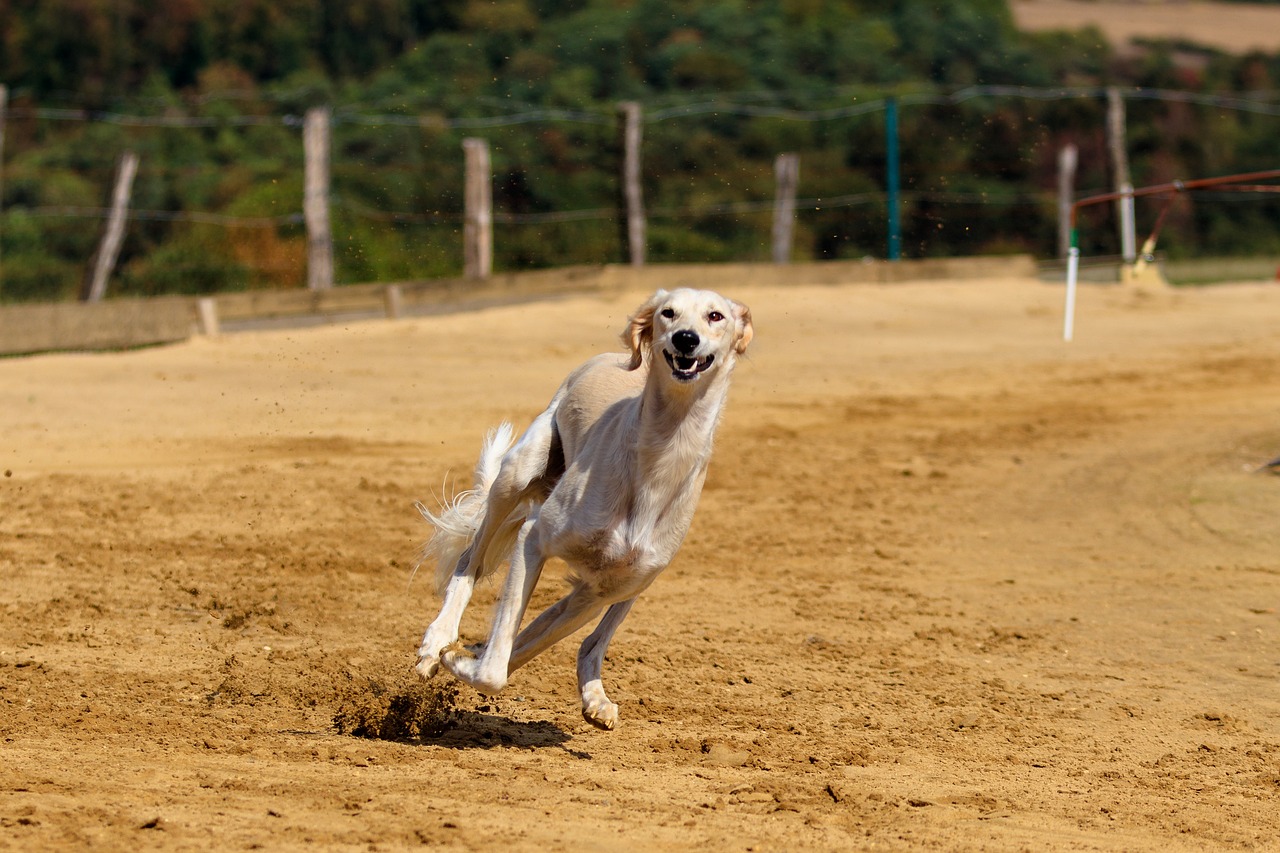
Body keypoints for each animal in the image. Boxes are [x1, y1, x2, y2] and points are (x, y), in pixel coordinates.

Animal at [414, 289, 747, 727]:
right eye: (668, 312)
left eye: (716, 316)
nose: (685, 339)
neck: (656, 465)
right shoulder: (534, 538)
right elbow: (493, 672)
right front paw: (451, 656)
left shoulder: (601, 589)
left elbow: (518, 650)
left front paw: (463, 657)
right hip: (517, 473)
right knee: (471, 560)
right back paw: (437, 640)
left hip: (625, 588)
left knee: (579, 641)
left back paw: (593, 696)